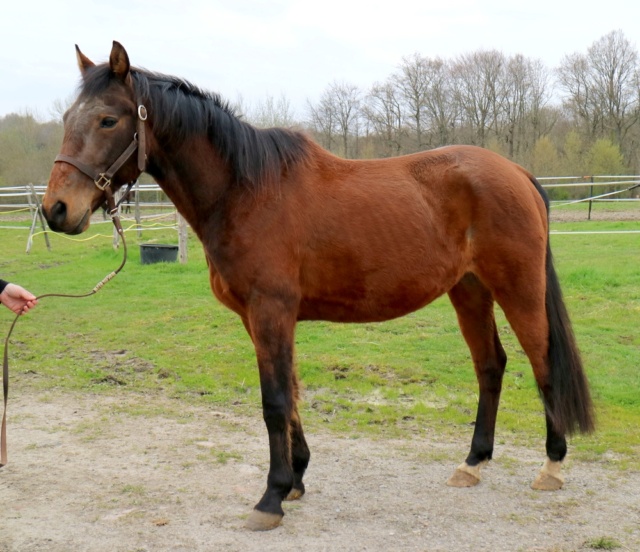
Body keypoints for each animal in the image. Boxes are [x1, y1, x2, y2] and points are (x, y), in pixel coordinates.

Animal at [43, 42, 596, 532]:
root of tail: (517, 172)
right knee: (490, 366)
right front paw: (296, 479)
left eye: (108, 120)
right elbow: (290, 392)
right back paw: (473, 462)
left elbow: (273, 401)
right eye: (69, 117)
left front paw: (270, 497)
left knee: (543, 363)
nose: (56, 210)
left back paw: (551, 465)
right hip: (470, 291)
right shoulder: (259, 319)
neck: (246, 191)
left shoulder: (270, 311)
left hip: (518, 288)